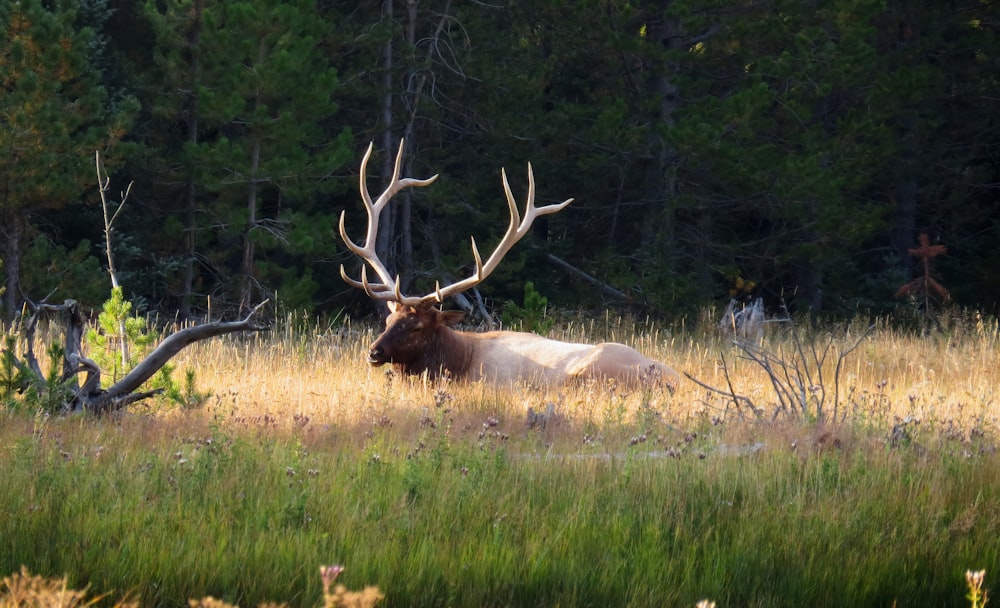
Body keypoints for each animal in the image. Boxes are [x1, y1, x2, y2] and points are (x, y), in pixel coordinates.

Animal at [342, 141, 680, 392]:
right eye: (388, 321)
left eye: (416, 326)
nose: (374, 352)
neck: (460, 359)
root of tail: (677, 380)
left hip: (590, 373)